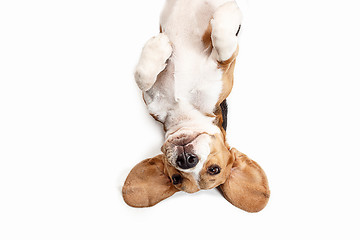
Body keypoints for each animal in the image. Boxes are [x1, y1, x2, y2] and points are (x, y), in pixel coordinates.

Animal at [122, 0, 268, 212]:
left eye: (214, 169)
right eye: (176, 178)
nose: (186, 160)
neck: (185, 111)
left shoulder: (224, 69)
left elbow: (223, 46)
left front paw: (227, 13)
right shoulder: (151, 98)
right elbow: (142, 78)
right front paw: (158, 48)